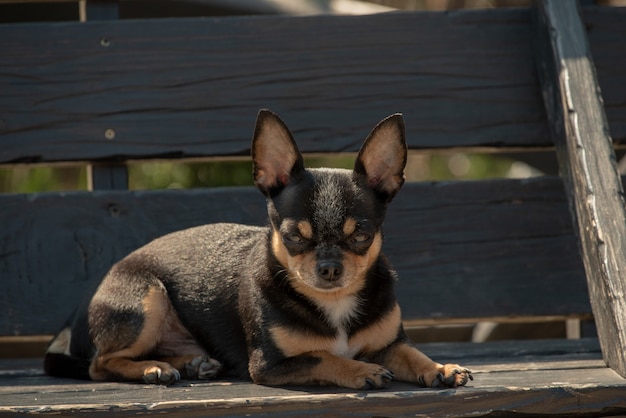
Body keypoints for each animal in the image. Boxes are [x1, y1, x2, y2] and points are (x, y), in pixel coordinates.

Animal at [44, 109, 470, 390]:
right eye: (294, 236)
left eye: (361, 236)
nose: (330, 267)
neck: (334, 305)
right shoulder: (270, 365)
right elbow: (323, 356)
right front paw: (360, 371)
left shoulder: (391, 345)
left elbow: (411, 354)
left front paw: (441, 366)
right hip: (147, 297)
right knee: (100, 364)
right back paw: (154, 369)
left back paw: (192, 363)